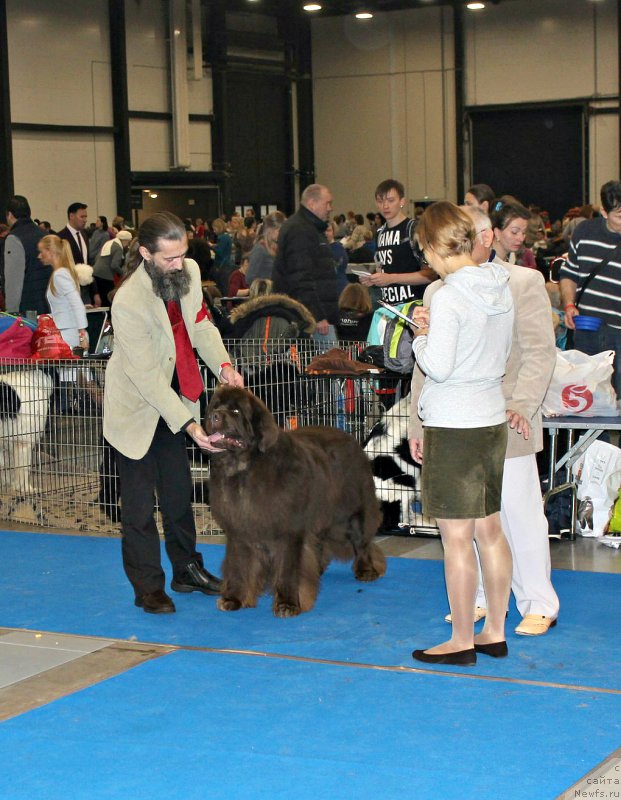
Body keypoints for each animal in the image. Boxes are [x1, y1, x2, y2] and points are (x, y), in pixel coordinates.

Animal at [206, 388, 386, 620]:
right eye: (215, 406)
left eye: (236, 411)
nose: (214, 416)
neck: (245, 469)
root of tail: (351, 438)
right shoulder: (240, 531)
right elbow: (238, 566)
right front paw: (233, 599)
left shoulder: (290, 532)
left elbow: (288, 570)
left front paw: (288, 604)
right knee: (319, 543)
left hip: (352, 512)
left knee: (361, 541)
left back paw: (366, 570)